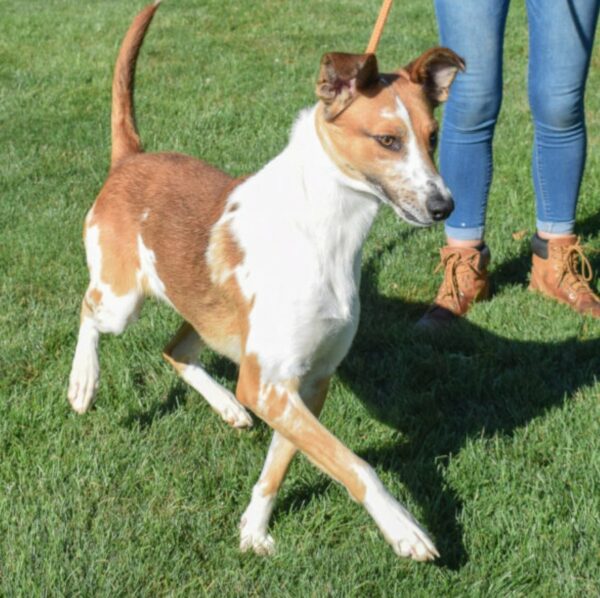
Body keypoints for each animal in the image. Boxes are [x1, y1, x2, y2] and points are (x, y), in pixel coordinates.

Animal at [69, 1, 464, 564]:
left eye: (433, 138)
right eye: (388, 140)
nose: (443, 206)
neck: (327, 233)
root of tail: (132, 159)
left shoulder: (306, 383)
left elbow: (281, 463)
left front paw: (253, 528)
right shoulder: (269, 383)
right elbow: (356, 464)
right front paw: (402, 526)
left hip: (210, 318)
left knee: (174, 349)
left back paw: (226, 406)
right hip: (121, 299)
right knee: (88, 311)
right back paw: (84, 381)